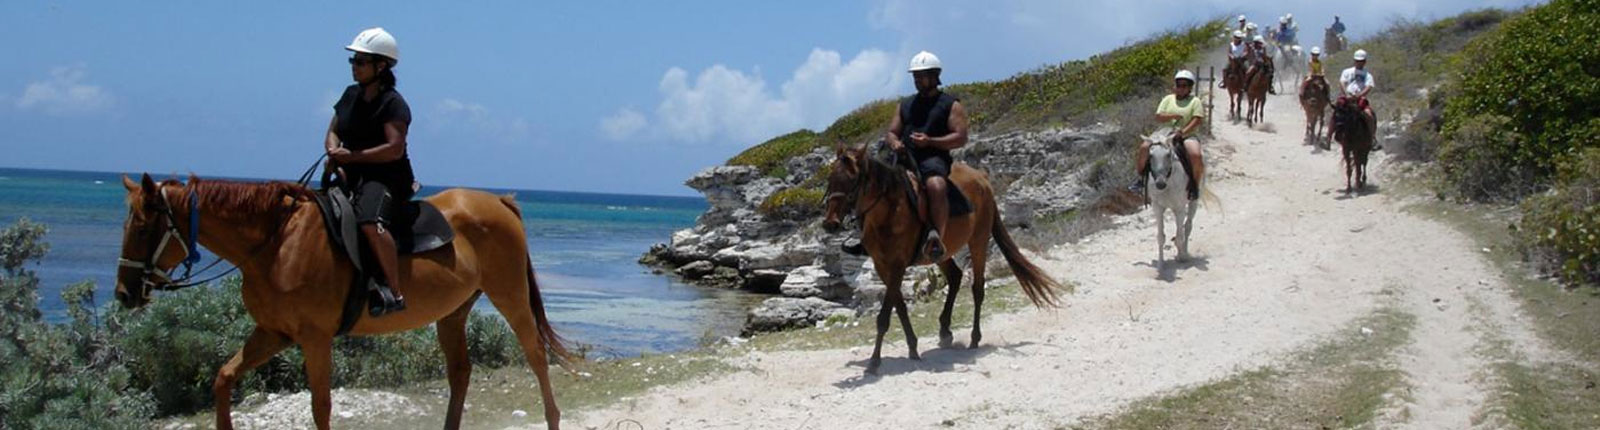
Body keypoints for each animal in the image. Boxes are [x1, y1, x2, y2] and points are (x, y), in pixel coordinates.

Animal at [112, 174, 566, 428]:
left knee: (536, 356)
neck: (275, 243)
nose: (123, 293)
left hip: (510, 297)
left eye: (141, 227)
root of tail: (499, 202)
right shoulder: (273, 333)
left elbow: (321, 406)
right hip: (453, 314)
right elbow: (223, 379)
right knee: (460, 373)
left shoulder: (314, 339)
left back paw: (553, 418)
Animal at [825, 143, 1062, 370]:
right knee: (955, 277)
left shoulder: (898, 264)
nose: (830, 223)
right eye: (830, 179)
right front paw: (913, 348)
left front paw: (874, 362)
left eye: (852, 179)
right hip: (941, 252)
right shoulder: (882, 266)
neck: (889, 211)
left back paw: (974, 338)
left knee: (977, 288)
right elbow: (899, 306)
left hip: (978, 241)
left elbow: (884, 316)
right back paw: (945, 331)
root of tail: (983, 179)